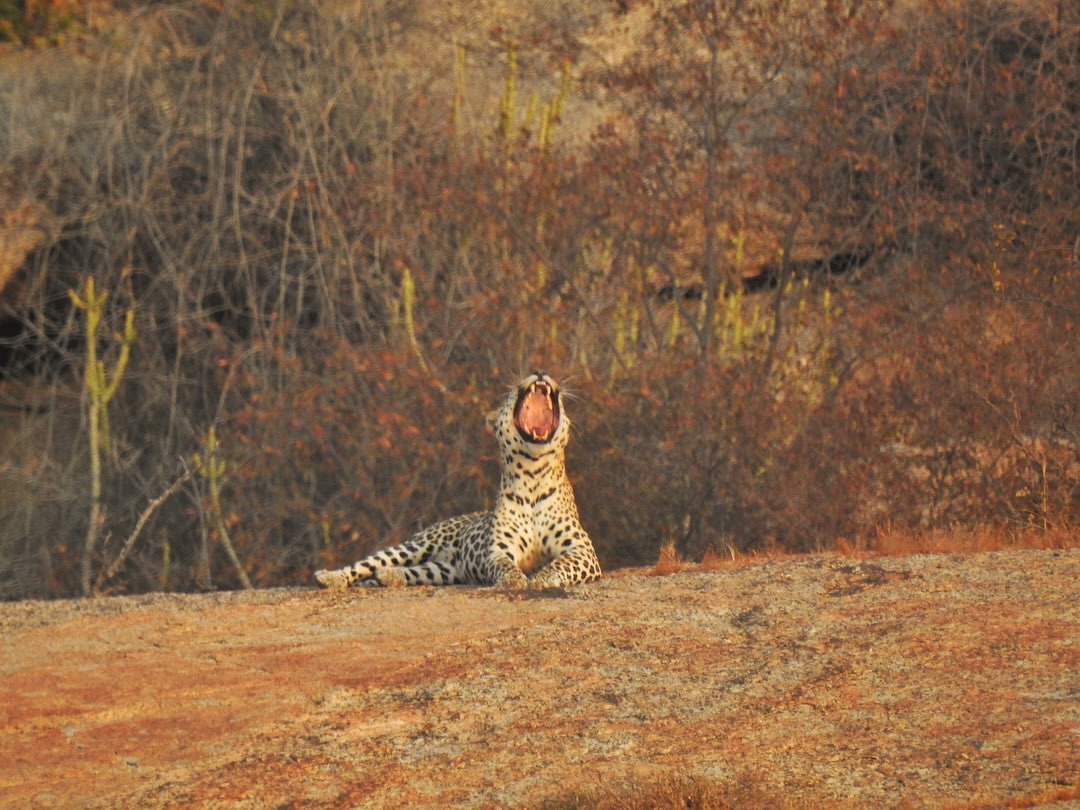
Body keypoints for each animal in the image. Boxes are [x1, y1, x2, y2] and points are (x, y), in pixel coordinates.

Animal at [313, 371, 602, 589]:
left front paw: (541, 578)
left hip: (443, 569)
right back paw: (329, 577)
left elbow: (560, 564)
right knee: (369, 563)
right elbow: (504, 566)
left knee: (412, 570)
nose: (540, 371)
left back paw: (390, 577)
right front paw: (515, 580)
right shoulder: (498, 550)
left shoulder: (583, 549)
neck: (533, 476)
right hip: (417, 545)